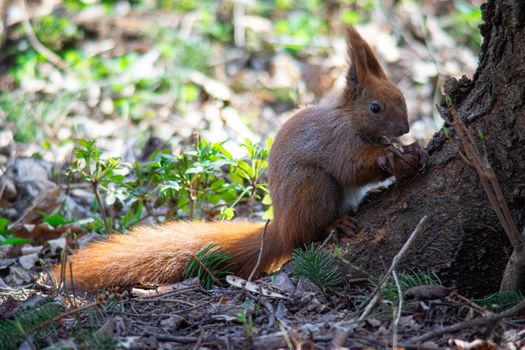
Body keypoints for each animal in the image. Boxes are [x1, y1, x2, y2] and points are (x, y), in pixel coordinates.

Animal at [56, 26, 426, 290]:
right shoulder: (336, 143)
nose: (405, 128)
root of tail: (280, 227)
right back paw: (333, 225)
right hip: (311, 187)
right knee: (305, 236)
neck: (351, 122)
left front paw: (413, 150)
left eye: (401, 96)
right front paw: (394, 159)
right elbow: (351, 168)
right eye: (375, 107)